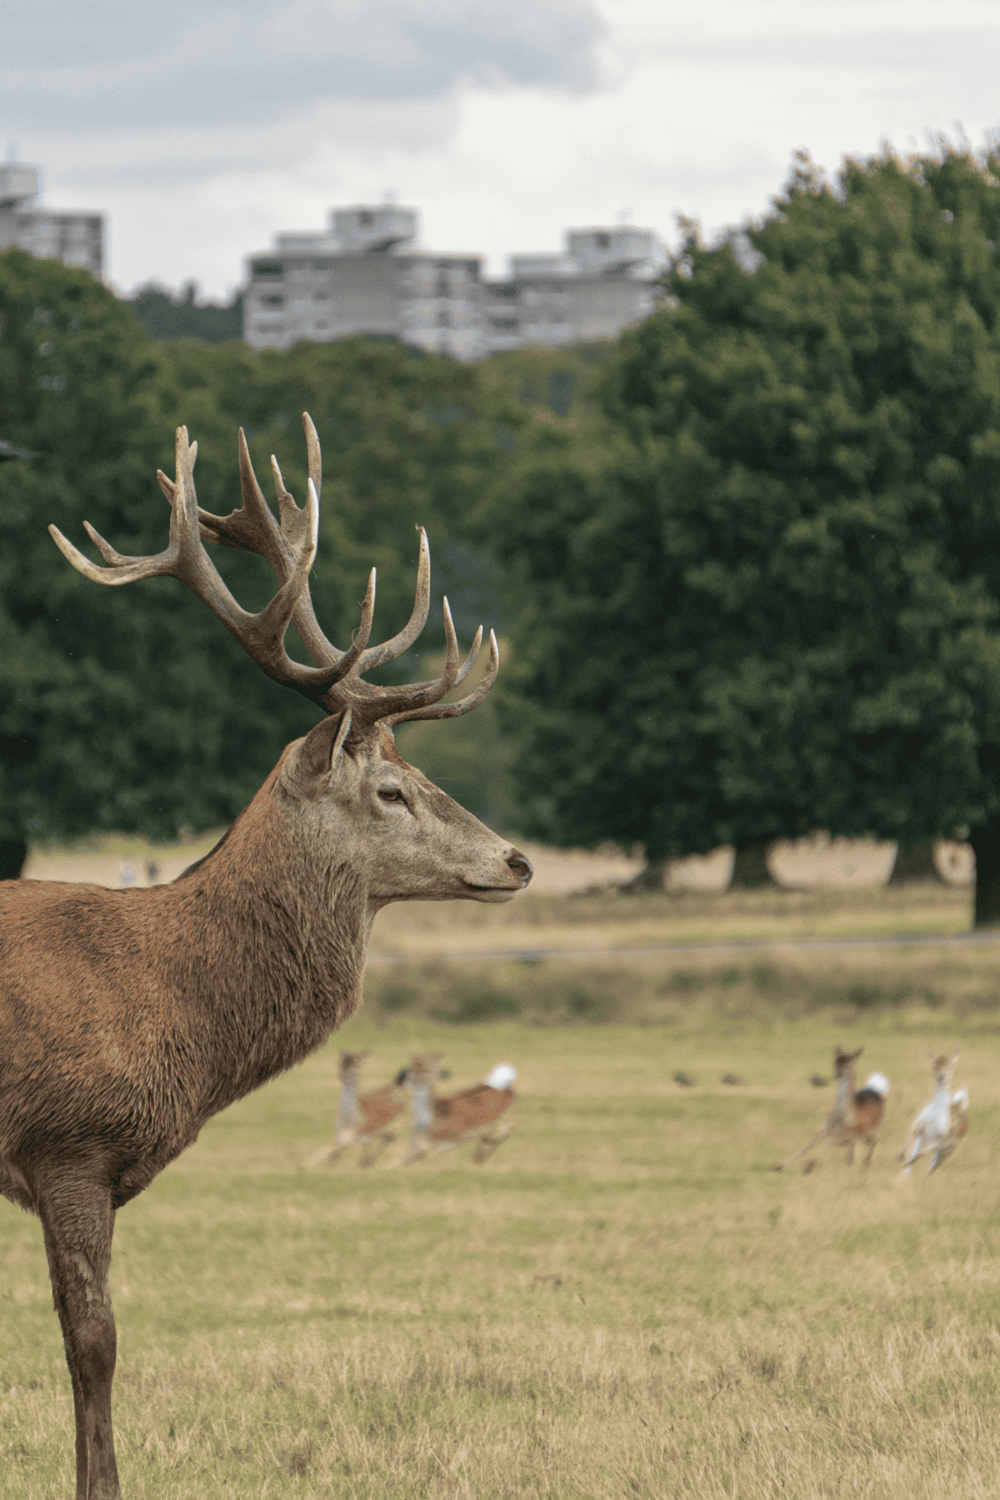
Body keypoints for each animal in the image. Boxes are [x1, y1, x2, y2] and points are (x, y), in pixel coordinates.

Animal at [899, 1046, 968, 1177]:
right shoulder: (917, 1125)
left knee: (933, 1160)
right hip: (923, 1139)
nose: (941, 1077)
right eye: (934, 1066)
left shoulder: (941, 1139)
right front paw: (901, 1157)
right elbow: (908, 1142)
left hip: (947, 1147)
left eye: (951, 1066)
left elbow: (926, 1153)